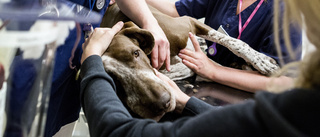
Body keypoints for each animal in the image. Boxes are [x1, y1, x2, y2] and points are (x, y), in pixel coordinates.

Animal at [99, 3, 278, 120]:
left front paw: (261, 61)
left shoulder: (189, 22)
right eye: (114, 80)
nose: (160, 104)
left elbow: (233, 42)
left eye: (136, 53)